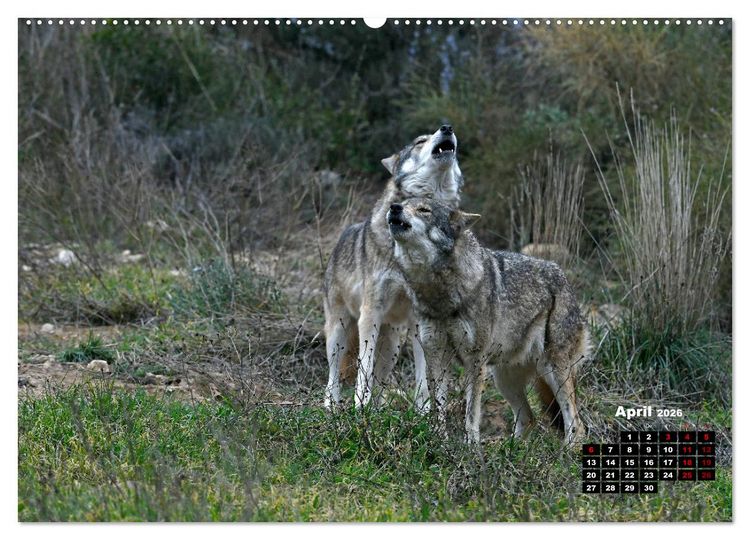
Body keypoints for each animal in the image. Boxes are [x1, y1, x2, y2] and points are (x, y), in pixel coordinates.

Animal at [323, 125, 463, 411]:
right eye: (420, 141)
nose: (447, 128)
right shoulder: (370, 314)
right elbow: (363, 369)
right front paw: (359, 407)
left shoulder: (421, 319)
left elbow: (423, 376)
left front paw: (423, 411)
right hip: (339, 332)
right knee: (333, 375)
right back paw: (332, 407)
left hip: (393, 346)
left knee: (380, 379)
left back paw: (377, 411)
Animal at [386, 197, 589, 445]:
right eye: (403, 203)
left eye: (424, 210)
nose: (394, 207)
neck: (440, 295)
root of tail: (564, 279)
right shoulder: (436, 356)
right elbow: (439, 407)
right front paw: (439, 441)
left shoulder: (475, 360)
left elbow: (471, 413)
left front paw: (471, 447)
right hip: (504, 379)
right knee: (528, 419)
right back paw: (509, 450)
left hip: (552, 369)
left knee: (576, 424)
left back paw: (565, 451)